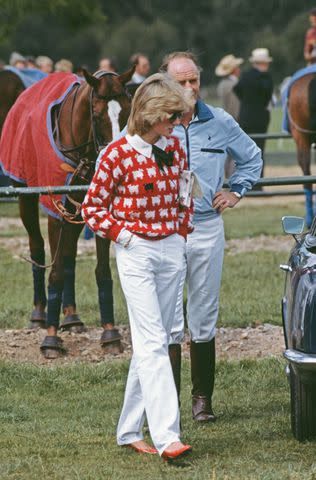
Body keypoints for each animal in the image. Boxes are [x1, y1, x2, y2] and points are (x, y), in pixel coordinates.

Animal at [0, 67, 133, 354]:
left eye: (127, 111)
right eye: (97, 114)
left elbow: (101, 271)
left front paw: (110, 333)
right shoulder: (55, 211)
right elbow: (56, 271)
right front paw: (51, 339)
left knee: (69, 254)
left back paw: (71, 317)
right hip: (26, 197)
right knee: (38, 247)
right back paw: (39, 314)